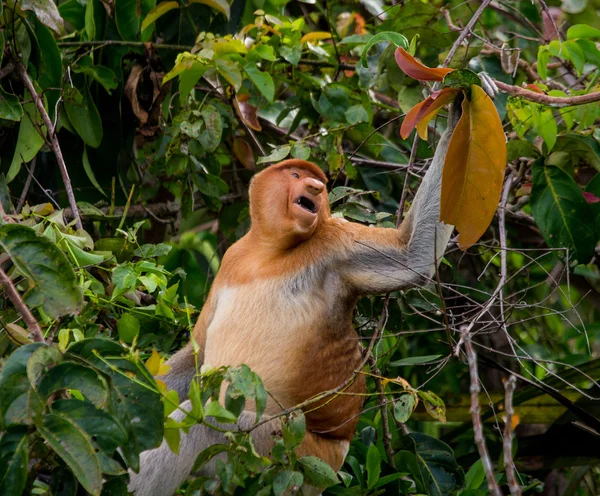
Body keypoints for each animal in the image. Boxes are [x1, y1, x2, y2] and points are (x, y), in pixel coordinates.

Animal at [129, 101, 460, 496]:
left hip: (290, 451)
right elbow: (197, 355)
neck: (269, 253)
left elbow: (412, 257)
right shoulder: (232, 260)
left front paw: (460, 107)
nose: (316, 188)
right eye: (296, 173)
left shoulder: (334, 241)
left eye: (319, 182)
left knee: (205, 422)